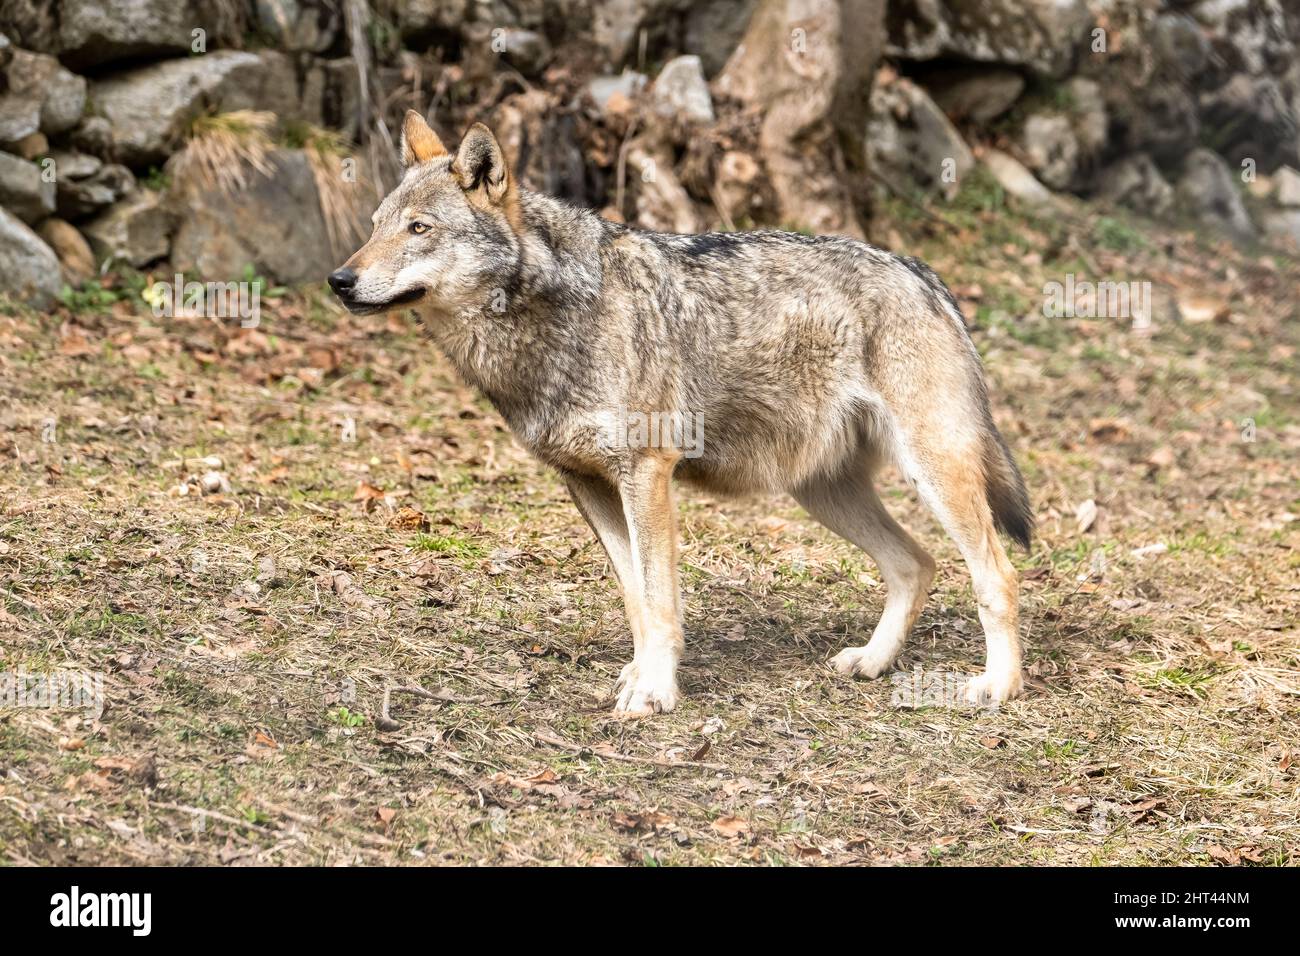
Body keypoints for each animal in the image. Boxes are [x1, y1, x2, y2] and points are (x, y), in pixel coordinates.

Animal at [327, 110, 1034, 712]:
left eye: (420, 229)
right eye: (375, 225)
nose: (339, 279)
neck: (552, 320)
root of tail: (922, 273)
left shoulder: (646, 474)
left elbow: (661, 600)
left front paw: (656, 692)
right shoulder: (588, 486)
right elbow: (638, 599)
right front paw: (643, 677)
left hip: (931, 473)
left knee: (996, 575)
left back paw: (998, 688)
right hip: (823, 491)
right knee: (916, 564)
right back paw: (872, 661)